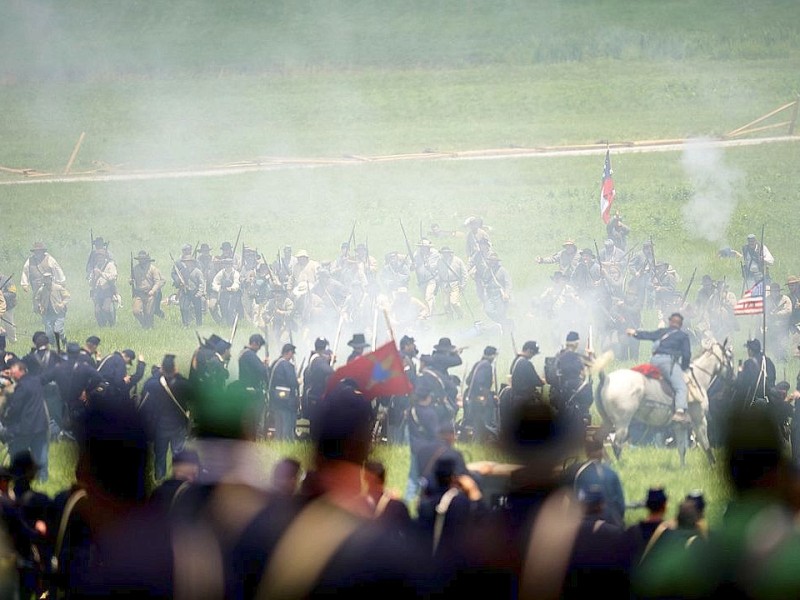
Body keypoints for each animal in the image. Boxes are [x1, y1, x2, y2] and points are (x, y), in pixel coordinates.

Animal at [592, 340, 732, 466]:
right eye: (730, 356)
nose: (732, 378)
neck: (697, 378)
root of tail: (606, 378)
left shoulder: (680, 426)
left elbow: (682, 449)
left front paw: (683, 468)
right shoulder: (700, 421)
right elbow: (706, 444)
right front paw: (713, 465)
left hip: (608, 421)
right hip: (622, 423)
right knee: (617, 445)